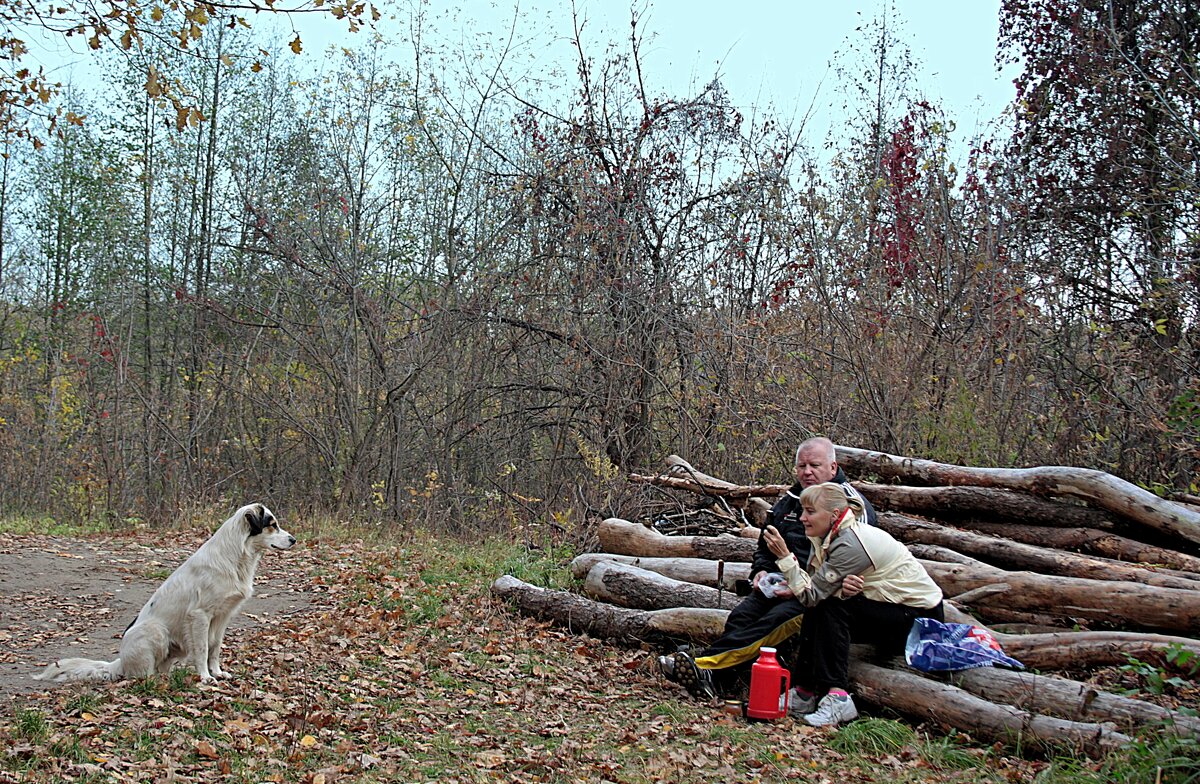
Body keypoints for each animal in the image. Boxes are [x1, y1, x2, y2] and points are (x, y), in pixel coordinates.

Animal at [34, 504, 296, 681]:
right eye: (272, 525)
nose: (293, 540)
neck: (236, 556)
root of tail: (119, 662)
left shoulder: (223, 617)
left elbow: (214, 649)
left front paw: (218, 672)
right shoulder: (200, 616)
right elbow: (202, 649)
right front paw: (205, 677)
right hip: (156, 630)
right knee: (141, 674)